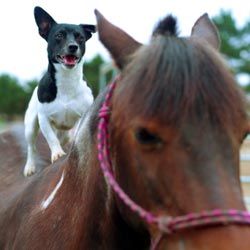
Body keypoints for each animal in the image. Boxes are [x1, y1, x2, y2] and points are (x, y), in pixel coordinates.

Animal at [23, 6, 95, 178]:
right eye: (59, 35)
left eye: (80, 37)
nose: (73, 46)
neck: (67, 80)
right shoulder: (43, 118)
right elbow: (51, 139)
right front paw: (57, 153)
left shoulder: (83, 115)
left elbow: (77, 134)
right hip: (30, 126)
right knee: (31, 147)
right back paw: (30, 166)